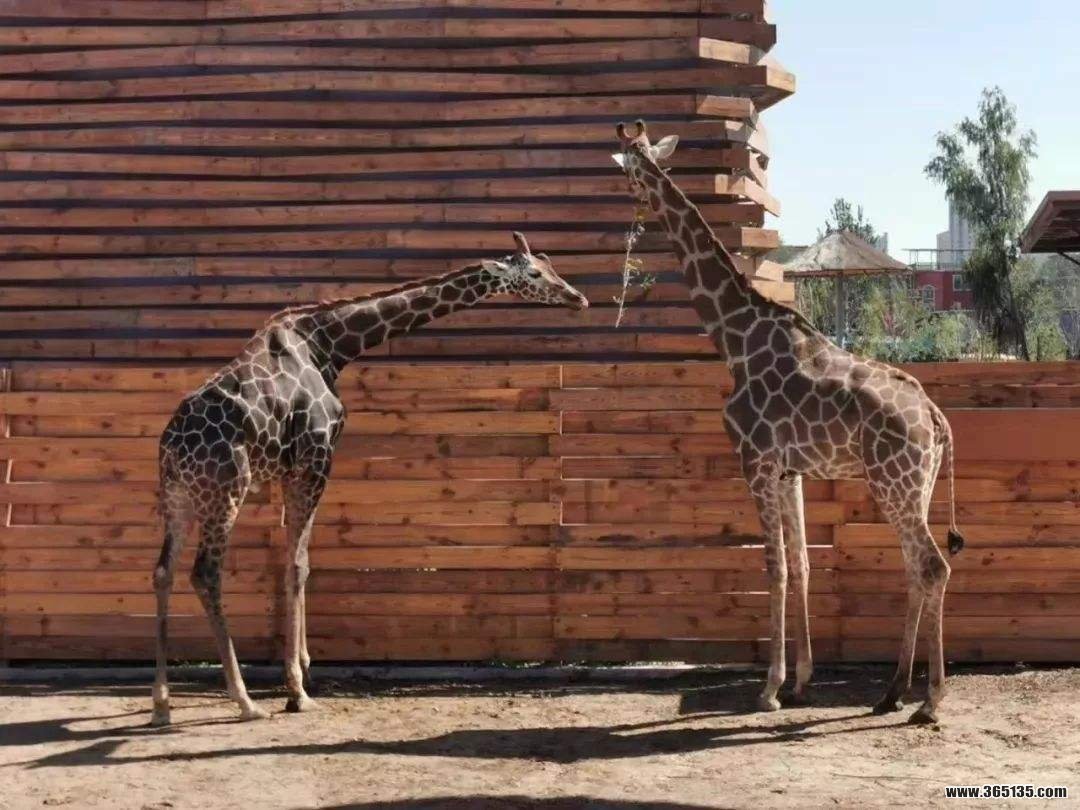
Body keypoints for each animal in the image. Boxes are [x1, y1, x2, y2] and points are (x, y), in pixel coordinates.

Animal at [150, 232, 588, 726]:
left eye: (551, 265)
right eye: (534, 273)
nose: (578, 298)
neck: (330, 345)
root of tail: (170, 445)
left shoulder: (290, 468)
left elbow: (297, 559)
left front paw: (304, 669)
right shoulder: (318, 455)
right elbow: (299, 562)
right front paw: (297, 690)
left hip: (179, 493)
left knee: (163, 570)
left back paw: (162, 703)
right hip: (225, 490)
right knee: (205, 573)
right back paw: (243, 701)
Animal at [613, 121, 965, 725]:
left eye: (632, 165)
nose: (626, 202)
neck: (734, 338)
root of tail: (936, 418)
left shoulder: (754, 460)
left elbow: (773, 567)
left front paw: (769, 688)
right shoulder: (789, 470)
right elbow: (801, 564)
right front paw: (801, 682)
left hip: (893, 482)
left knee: (933, 566)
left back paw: (929, 701)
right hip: (913, 486)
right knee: (915, 568)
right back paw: (892, 691)